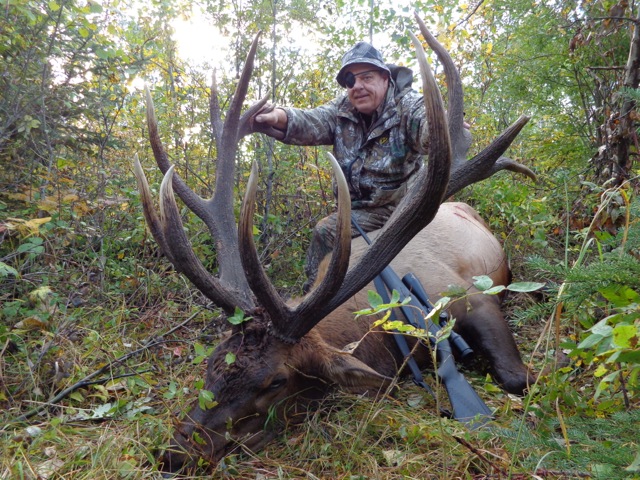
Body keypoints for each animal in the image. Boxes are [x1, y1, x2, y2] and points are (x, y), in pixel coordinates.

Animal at [134, 14, 537, 473]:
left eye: (276, 381)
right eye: (213, 363)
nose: (176, 452)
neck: (381, 332)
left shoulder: (472, 297)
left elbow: (517, 377)